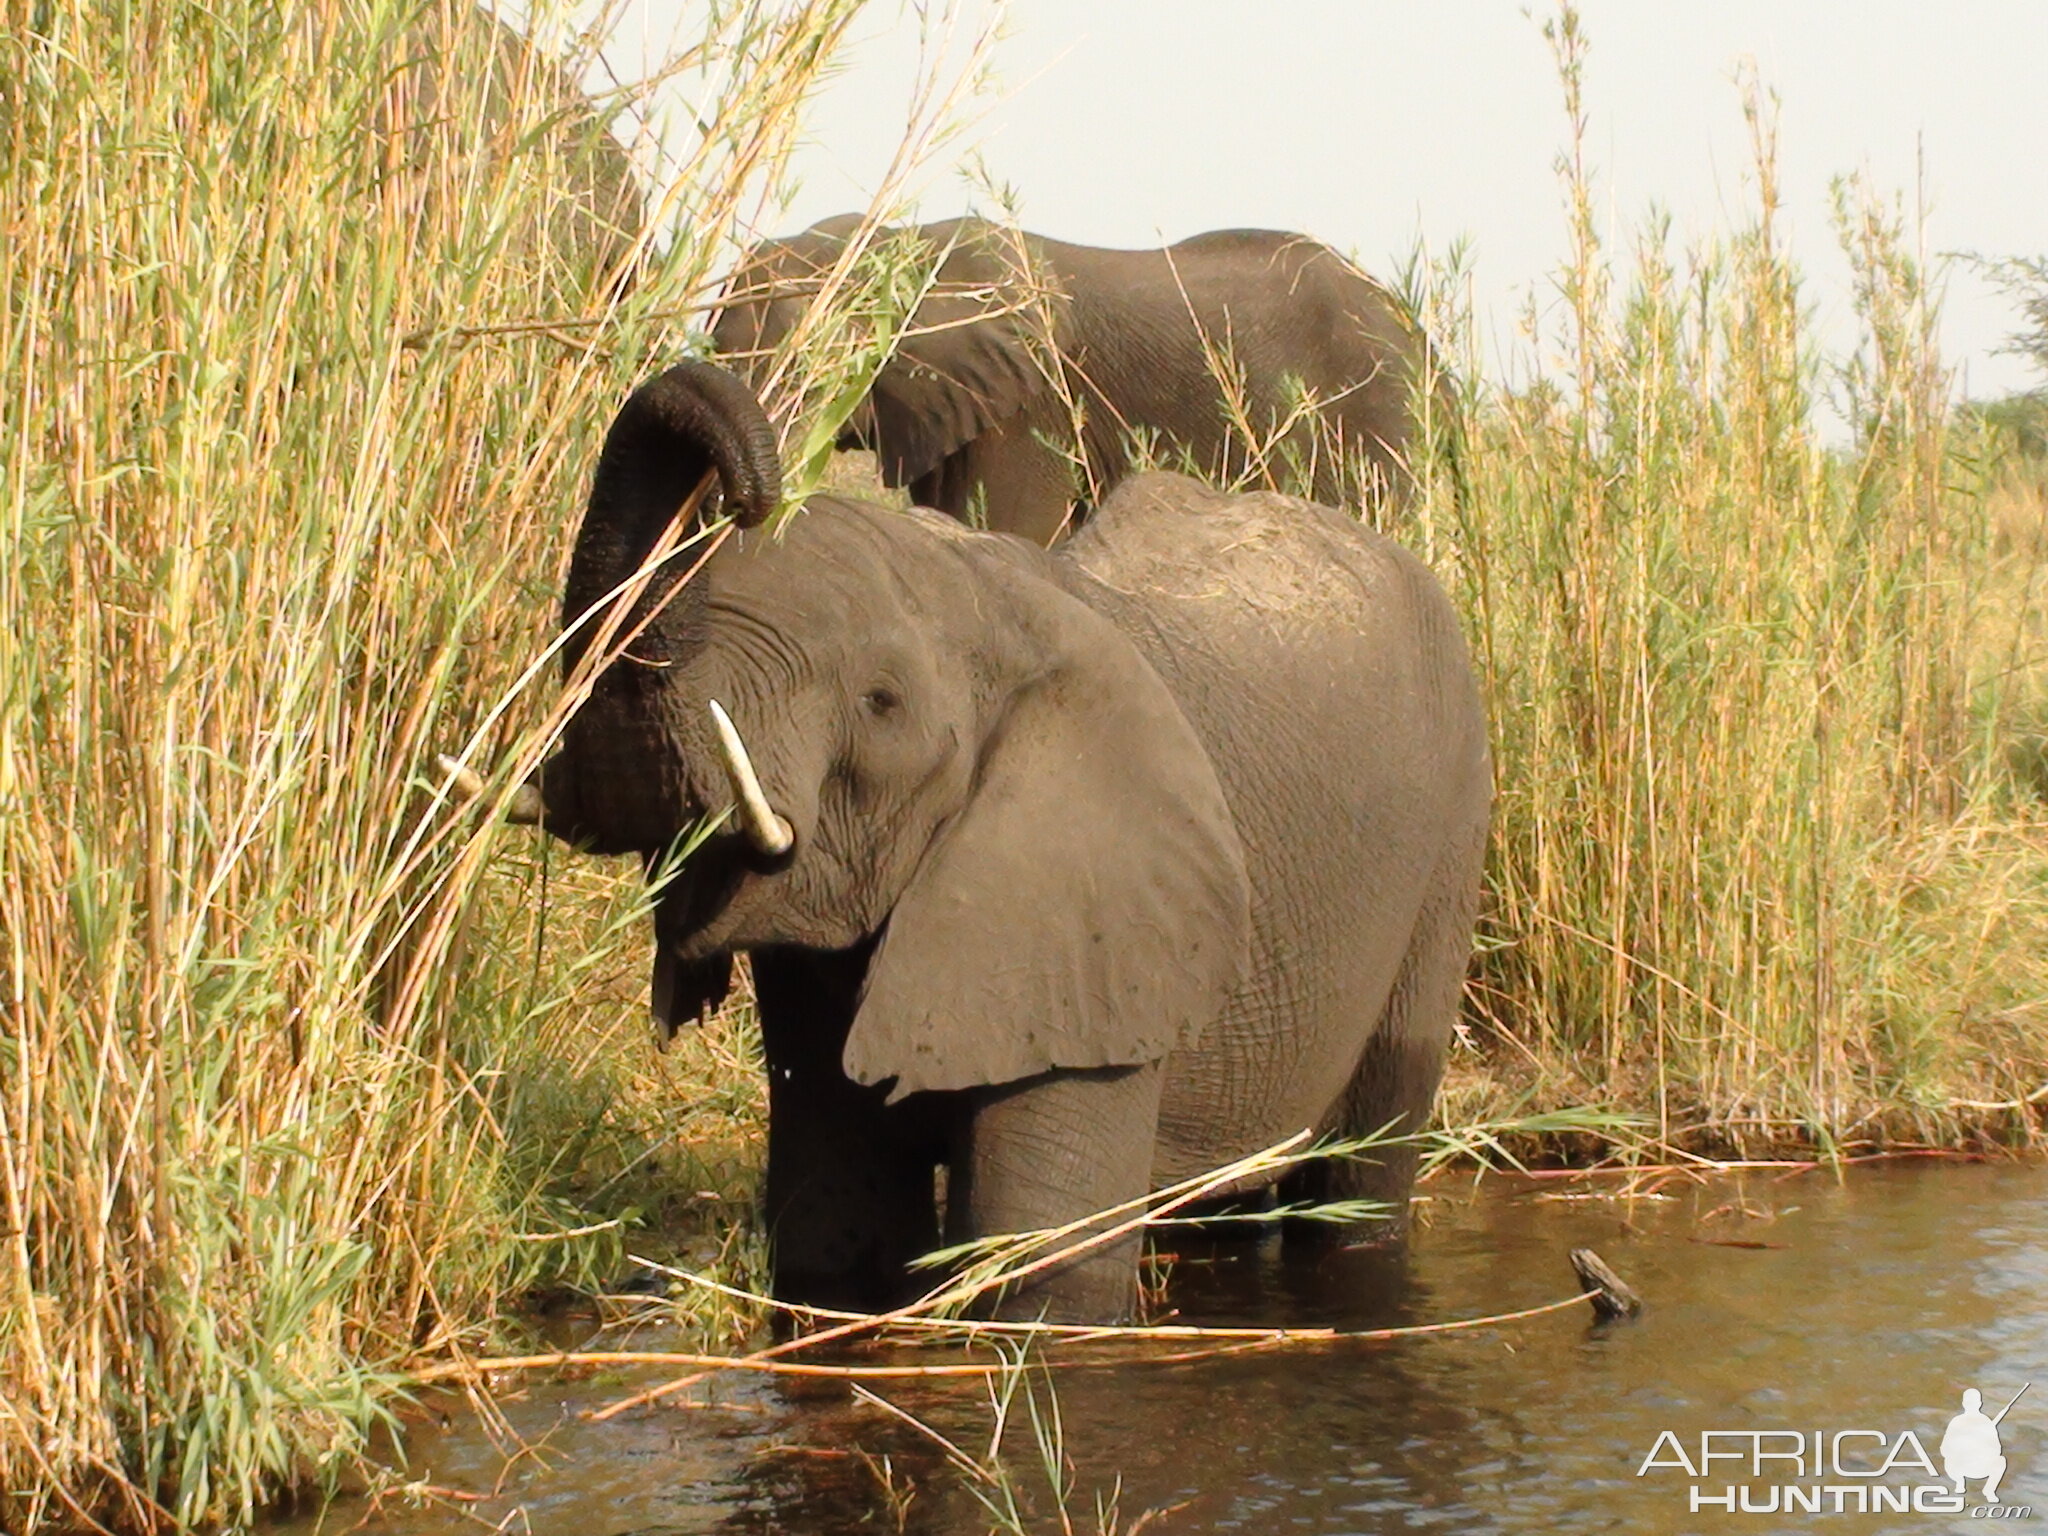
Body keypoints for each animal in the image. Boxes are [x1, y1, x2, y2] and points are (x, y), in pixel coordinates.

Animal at [452, 364, 1490, 1327]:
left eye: (881, 702)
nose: (747, 489)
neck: (984, 597)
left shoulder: (1086, 920)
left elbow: (1038, 1265)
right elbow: (838, 1227)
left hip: (1453, 834)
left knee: (1364, 1167)